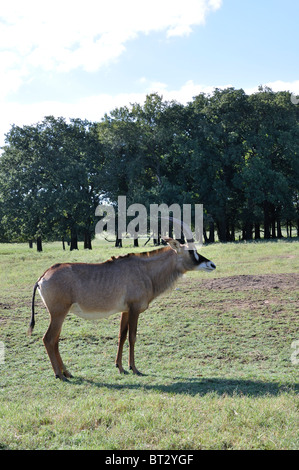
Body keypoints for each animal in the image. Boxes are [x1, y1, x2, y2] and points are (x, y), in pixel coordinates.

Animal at [28, 237, 216, 380]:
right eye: (191, 251)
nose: (212, 265)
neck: (145, 271)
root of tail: (42, 277)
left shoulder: (125, 311)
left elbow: (122, 336)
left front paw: (120, 367)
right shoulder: (134, 309)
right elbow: (132, 337)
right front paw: (134, 368)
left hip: (61, 315)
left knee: (55, 340)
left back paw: (67, 372)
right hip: (58, 313)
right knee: (48, 339)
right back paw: (59, 375)